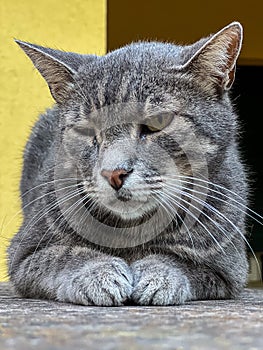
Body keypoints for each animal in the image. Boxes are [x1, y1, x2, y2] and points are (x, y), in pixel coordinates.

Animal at [7, 22, 252, 306]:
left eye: (158, 122)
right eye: (86, 129)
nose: (113, 173)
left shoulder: (229, 267)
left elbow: (181, 261)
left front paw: (158, 276)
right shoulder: (23, 253)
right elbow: (64, 255)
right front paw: (99, 274)